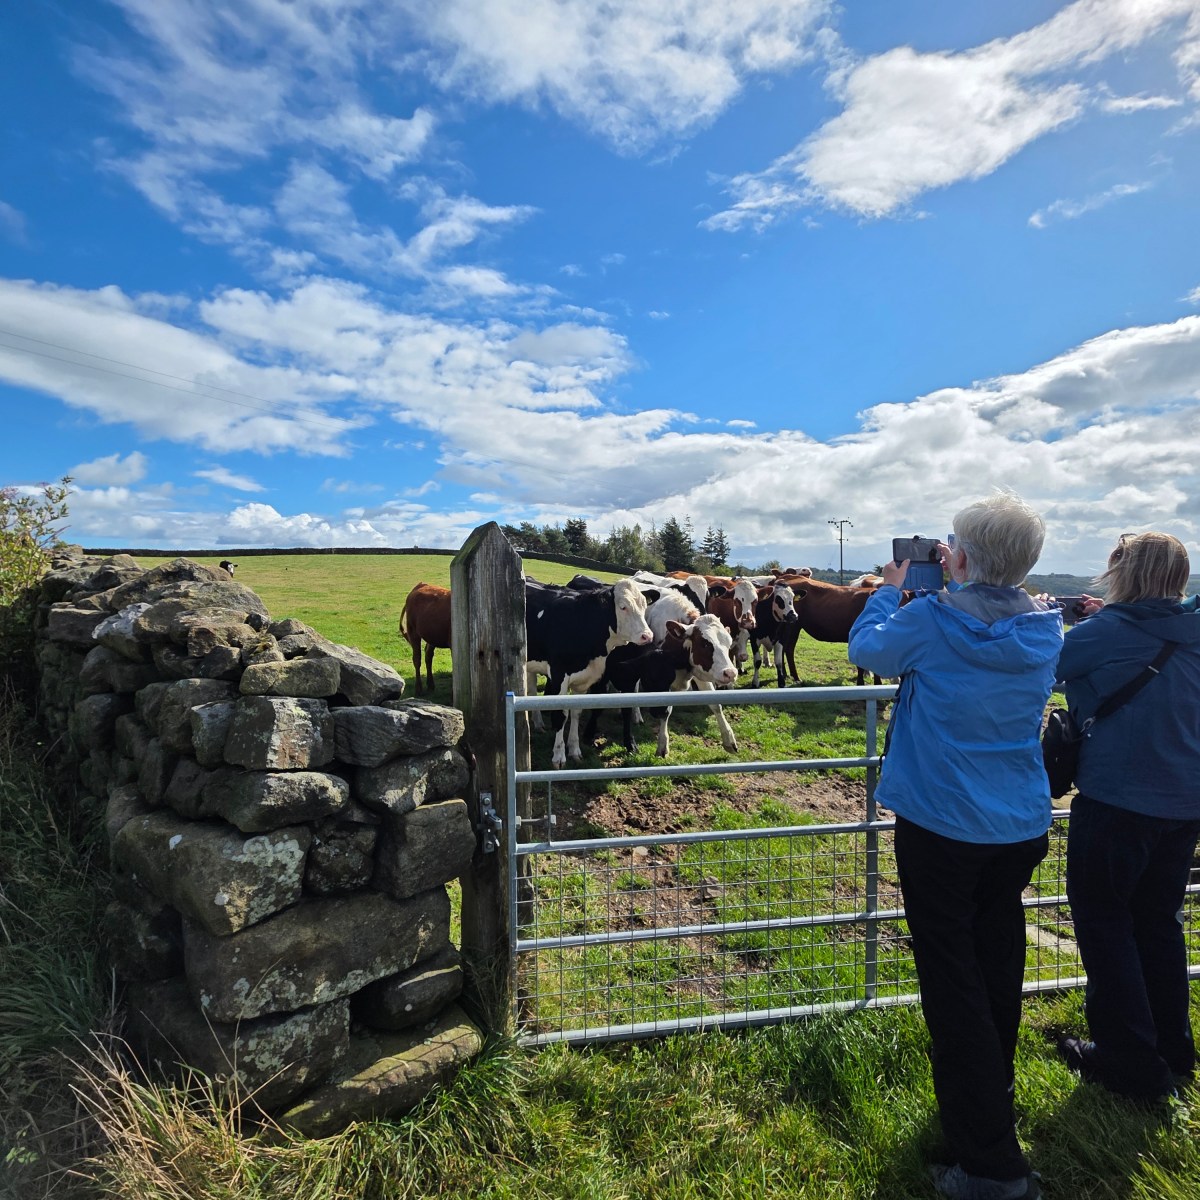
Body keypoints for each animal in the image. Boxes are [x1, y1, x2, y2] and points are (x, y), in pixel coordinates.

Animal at [525, 576, 654, 767]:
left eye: (644, 606)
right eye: (623, 607)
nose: (647, 636)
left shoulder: (584, 680)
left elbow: (576, 712)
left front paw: (574, 749)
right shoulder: (558, 675)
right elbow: (560, 715)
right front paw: (558, 756)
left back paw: (538, 722)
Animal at [582, 614, 739, 756]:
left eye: (729, 644)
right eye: (705, 643)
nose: (730, 673)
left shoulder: (698, 670)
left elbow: (715, 705)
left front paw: (729, 740)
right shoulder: (608, 677)